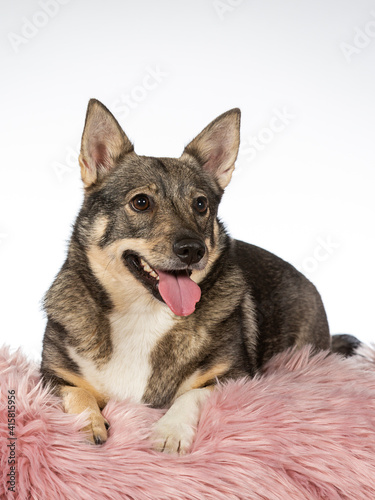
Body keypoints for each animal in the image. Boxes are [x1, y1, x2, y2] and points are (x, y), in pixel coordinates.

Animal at [40, 99, 358, 456]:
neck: (142, 315)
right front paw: (88, 424)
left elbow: (191, 395)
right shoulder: (53, 377)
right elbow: (78, 394)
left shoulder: (235, 376)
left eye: (201, 204)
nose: (193, 249)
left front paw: (170, 431)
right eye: (141, 202)